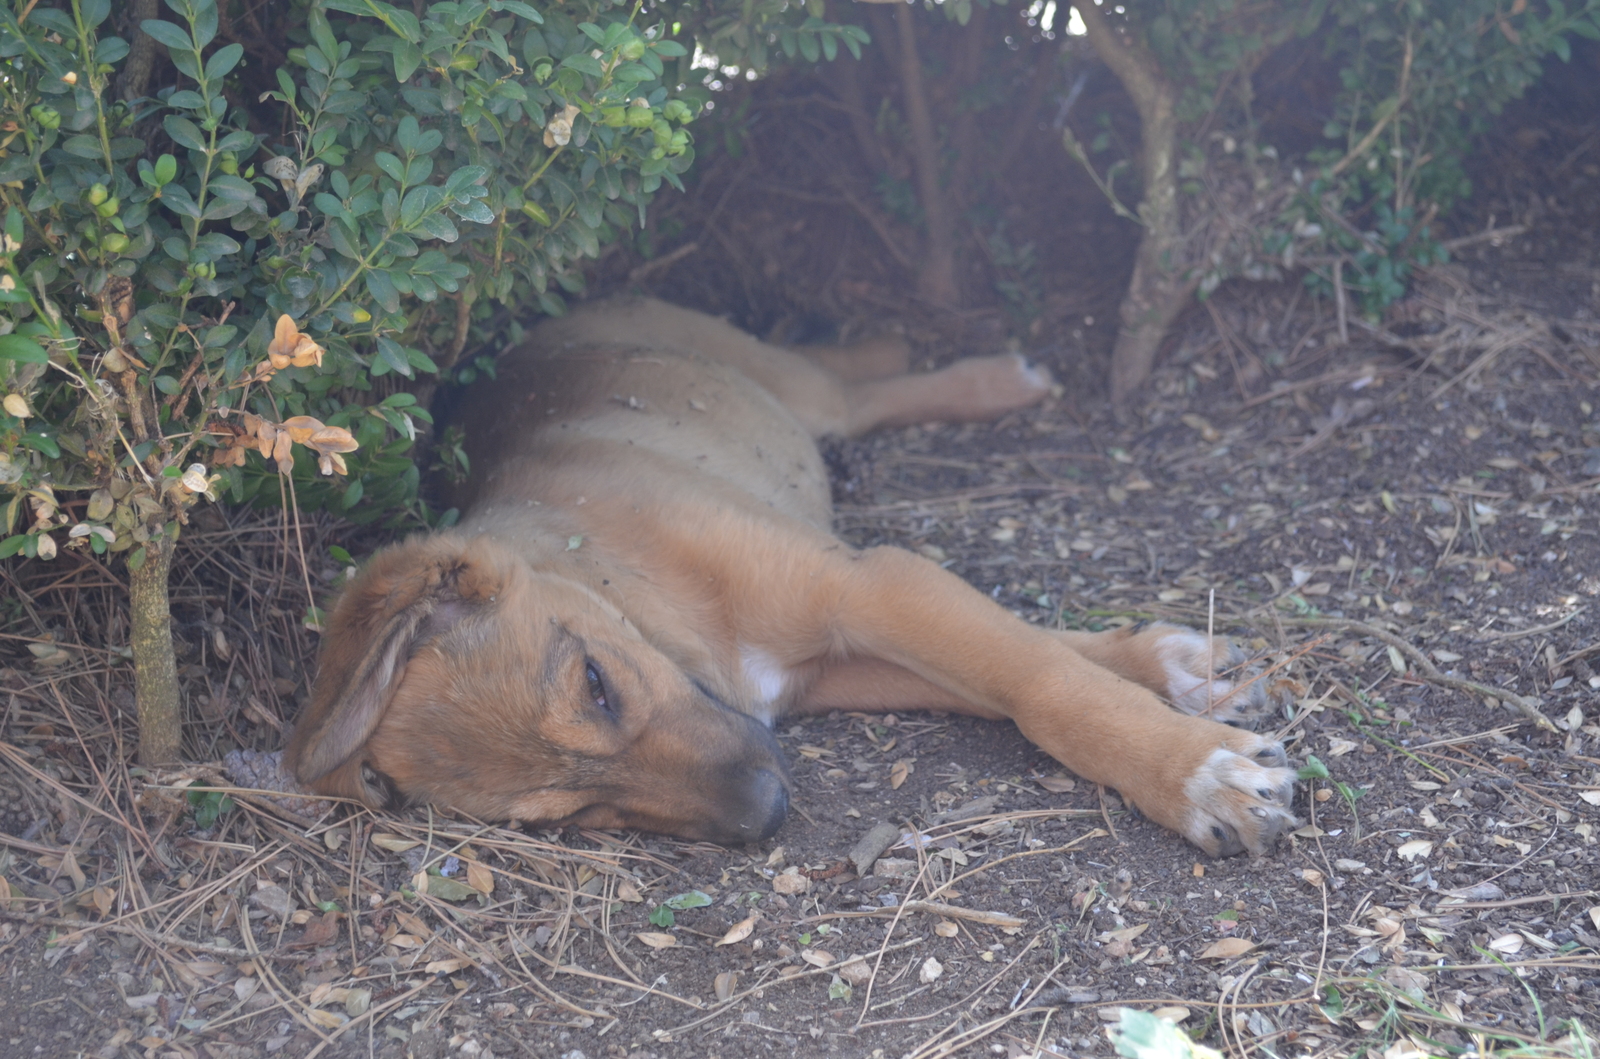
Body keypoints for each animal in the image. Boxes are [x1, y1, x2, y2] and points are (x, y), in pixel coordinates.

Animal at [281, 299, 1292, 863]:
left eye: (597, 685)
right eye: (571, 815)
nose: (766, 814)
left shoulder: (869, 585)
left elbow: (1042, 684)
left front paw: (1195, 775)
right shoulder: (829, 663)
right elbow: (1022, 671)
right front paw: (1180, 676)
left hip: (767, 378)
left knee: (846, 390)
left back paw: (978, 372)